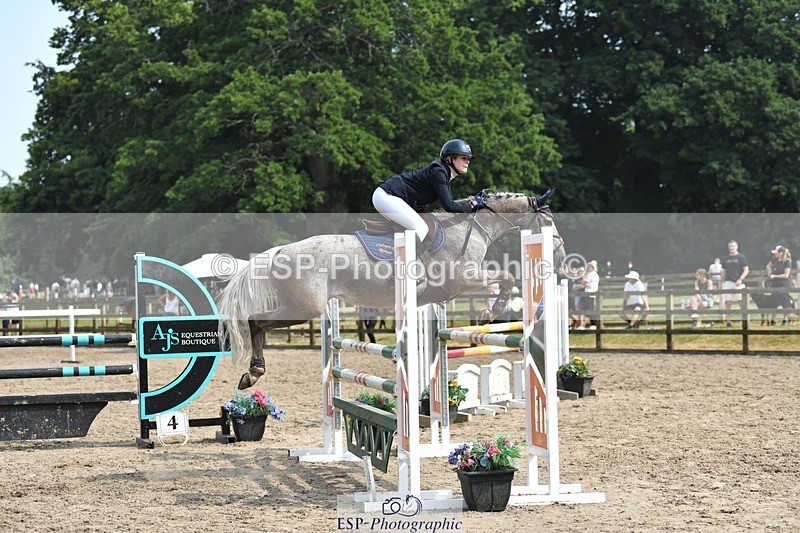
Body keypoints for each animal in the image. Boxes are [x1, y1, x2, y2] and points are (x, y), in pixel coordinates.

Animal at [218, 191, 565, 390]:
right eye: (548, 222)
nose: (561, 258)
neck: (473, 228)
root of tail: (279, 251)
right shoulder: (463, 279)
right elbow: (507, 278)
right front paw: (490, 312)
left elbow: (505, 278)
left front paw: (490, 311)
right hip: (305, 308)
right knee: (255, 321)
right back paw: (253, 373)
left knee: (256, 322)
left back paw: (252, 373)